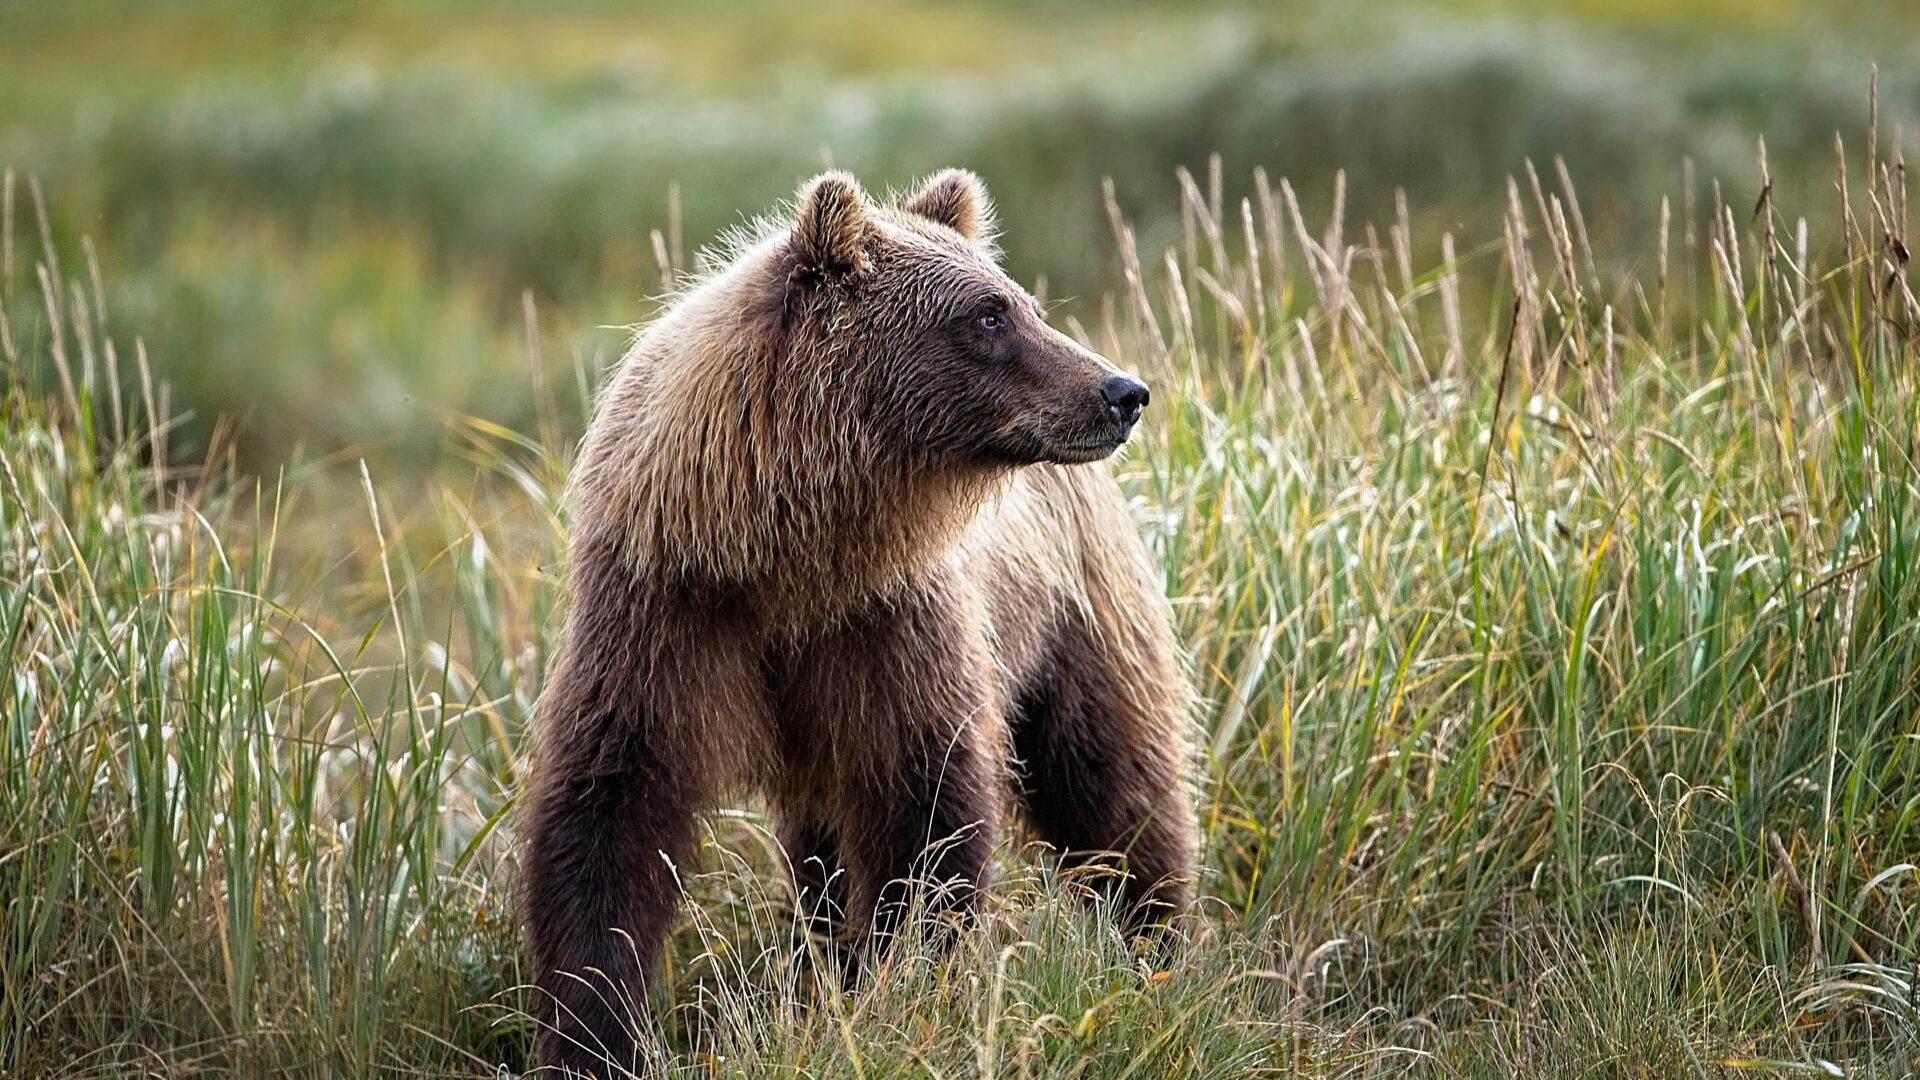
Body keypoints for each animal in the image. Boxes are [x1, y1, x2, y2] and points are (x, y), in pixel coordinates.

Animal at [520, 168, 1197, 1076]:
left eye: (1020, 302)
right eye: (990, 315)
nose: (1121, 391)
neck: (791, 558)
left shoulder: (889, 624)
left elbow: (929, 813)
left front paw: (901, 986)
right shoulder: (663, 612)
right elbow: (606, 817)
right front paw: (593, 1034)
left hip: (1079, 611)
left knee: (1113, 781)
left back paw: (1155, 944)